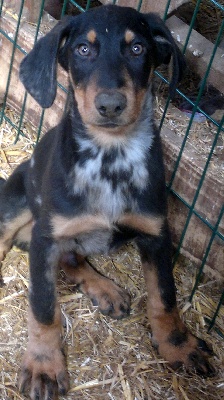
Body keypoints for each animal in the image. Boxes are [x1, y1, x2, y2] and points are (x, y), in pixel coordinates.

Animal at [0, 4, 214, 398]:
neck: (111, 158)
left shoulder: (157, 233)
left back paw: (103, 288)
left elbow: (165, 296)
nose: (111, 105)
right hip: (18, 203)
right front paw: (43, 365)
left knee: (72, 259)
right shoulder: (46, 237)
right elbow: (43, 308)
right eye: (83, 49)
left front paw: (178, 345)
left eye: (137, 49)